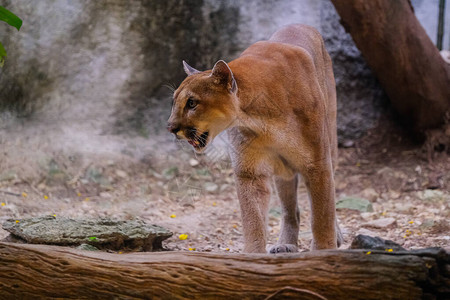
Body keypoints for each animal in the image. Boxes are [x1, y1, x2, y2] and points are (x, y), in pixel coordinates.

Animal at [167, 24, 342, 253]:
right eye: (174, 101)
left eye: (192, 103)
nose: (170, 127)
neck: (261, 120)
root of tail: (301, 25)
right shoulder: (250, 172)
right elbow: (253, 219)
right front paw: (253, 255)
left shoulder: (317, 163)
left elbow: (322, 214)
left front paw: (324, 251)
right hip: (283, 171)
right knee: (290, 210)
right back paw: (285, 244)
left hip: (330, 145)